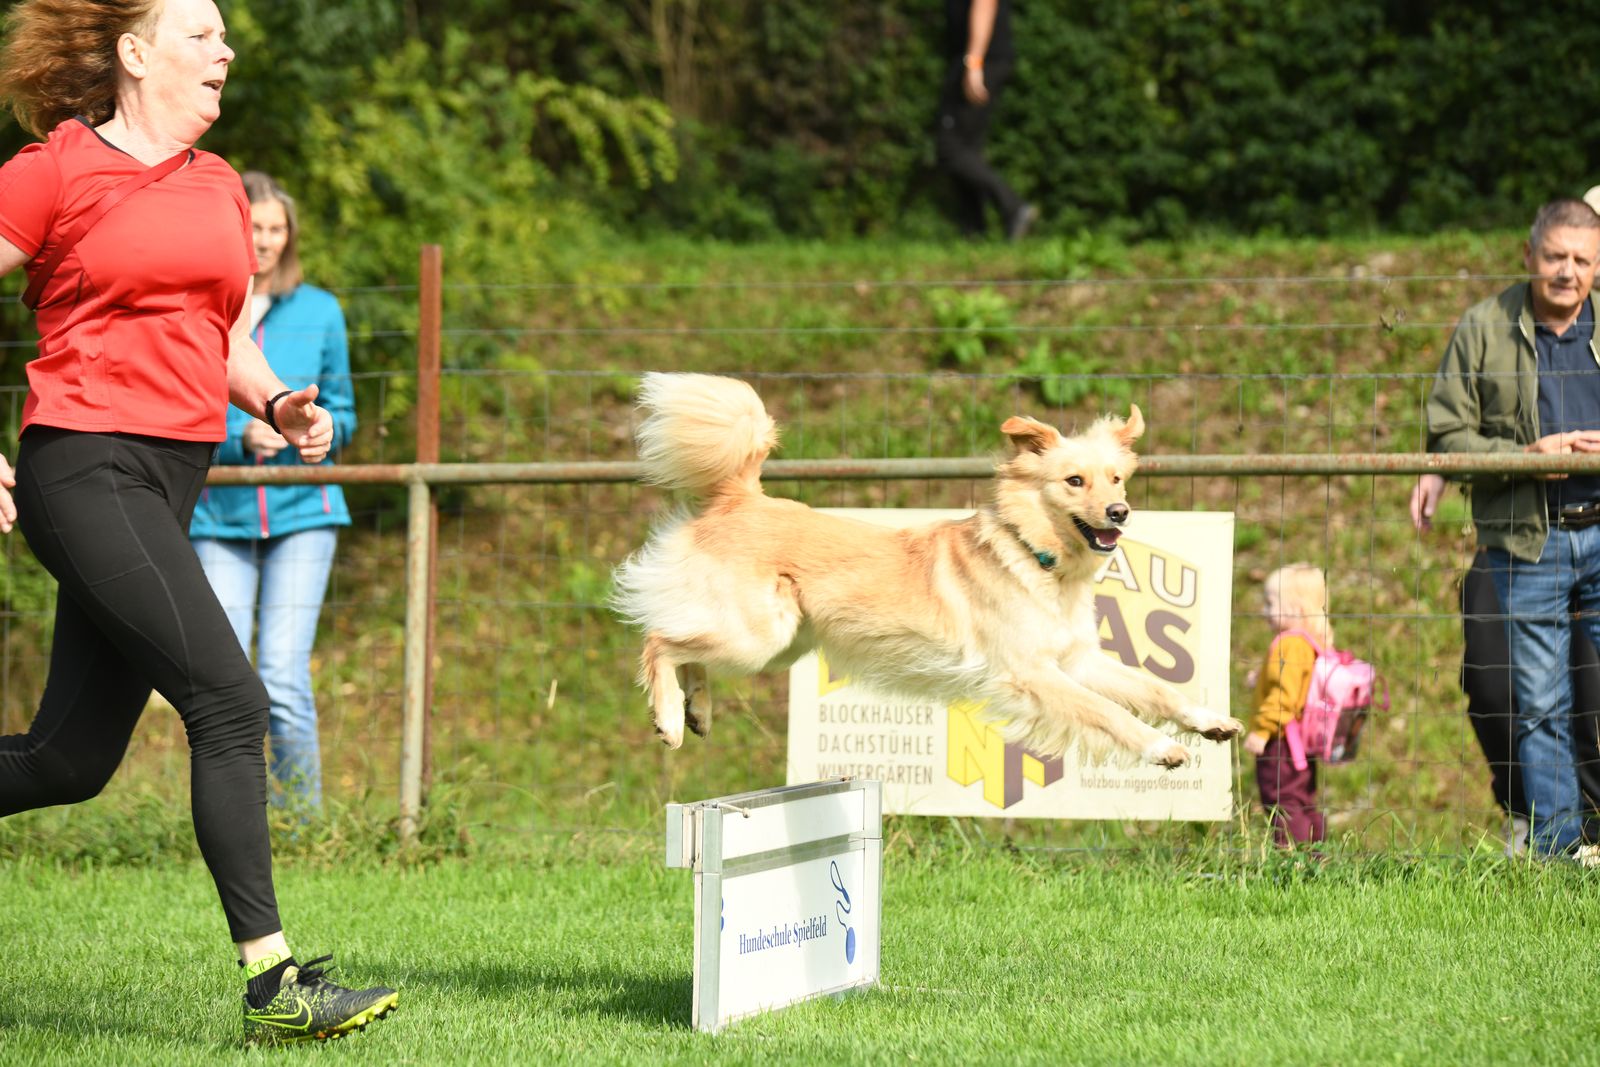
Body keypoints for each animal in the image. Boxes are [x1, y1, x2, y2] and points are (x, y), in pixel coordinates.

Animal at [611, 373, 1243, 766]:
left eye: (1116, 478)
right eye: (1074, 481)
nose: (1120, 513)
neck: (1034, 559)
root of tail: (741, 496)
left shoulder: (1077, 661)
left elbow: (1157, 689)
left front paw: (1211, 721)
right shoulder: (1029, 675)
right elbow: (1110, 713)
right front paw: (1161, 749)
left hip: (777, 644)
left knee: (688, 647)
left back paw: (698, 711)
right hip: (759, 636)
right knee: (659, 640)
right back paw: (669, 719)